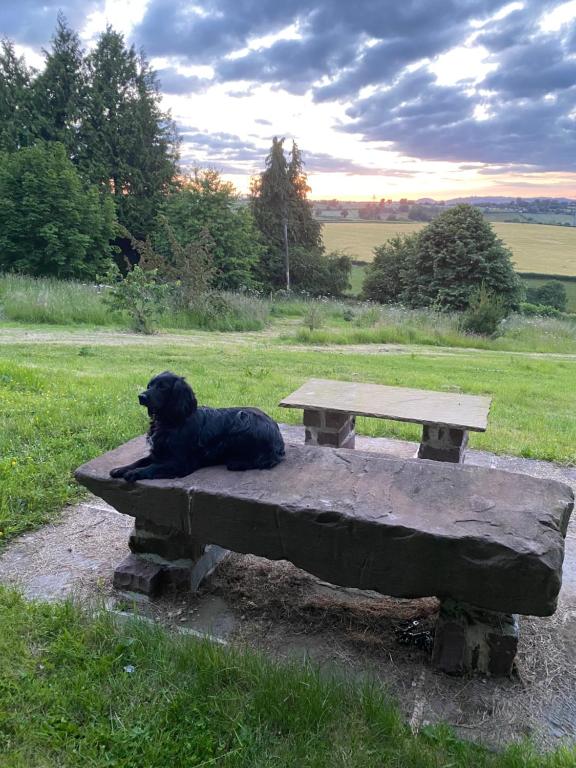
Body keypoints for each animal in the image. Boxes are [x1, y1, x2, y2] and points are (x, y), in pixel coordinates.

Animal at [111, 370, 286, 480]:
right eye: (149, 385)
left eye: (162, 387)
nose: (141, 396)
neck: (171, 421)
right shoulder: (158, 453)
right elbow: (140, 460)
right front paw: (121, 468)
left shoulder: (180, 462)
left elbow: (153, 466)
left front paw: (135, 473)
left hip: (243, 419)